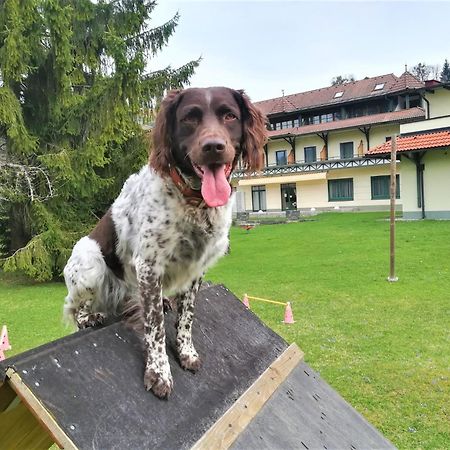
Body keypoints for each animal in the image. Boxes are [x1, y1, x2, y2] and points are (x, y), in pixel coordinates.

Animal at [63, 87, 268, 398]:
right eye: (189, 118)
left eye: (230, 116)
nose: (213, 147)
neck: (194, 202)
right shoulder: (148, 265)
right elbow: (155, 326)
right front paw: (159, 372)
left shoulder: (196, 269)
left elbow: (187, 317)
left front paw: (186, 352)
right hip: (90, 260)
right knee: (75, 306)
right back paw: (90, 316)